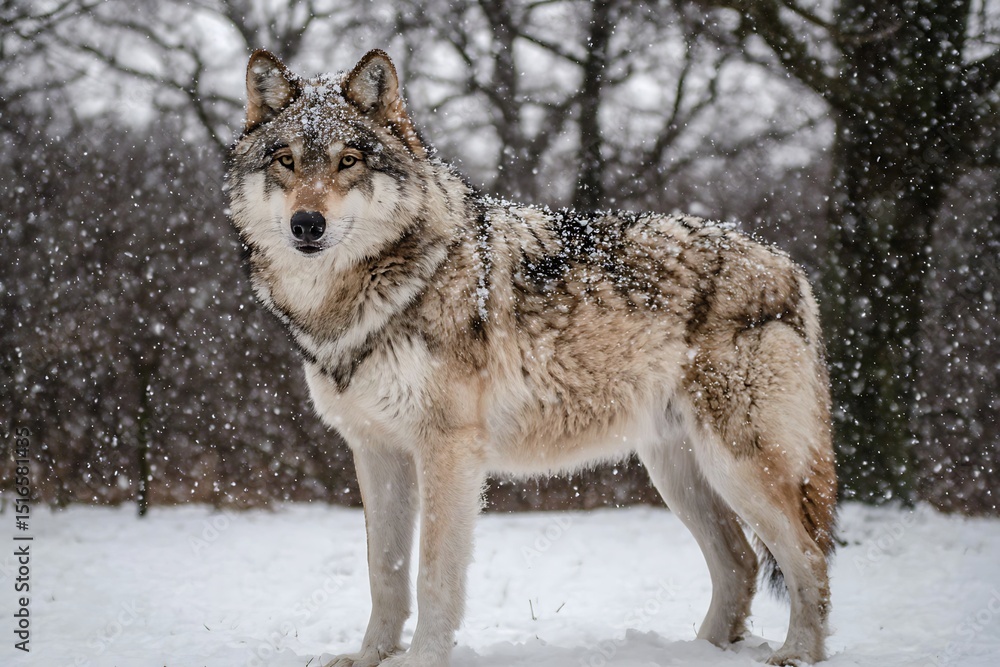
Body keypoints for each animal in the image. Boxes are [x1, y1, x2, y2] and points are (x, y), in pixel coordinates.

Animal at [226, 49, 837, 666]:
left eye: (348, 161)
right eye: (285, 160)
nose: (307, 224)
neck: (371, 294)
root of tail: (791, 268)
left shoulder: (448, 449)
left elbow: (433, 575)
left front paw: (422, 659)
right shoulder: (376, 450)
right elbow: (385, 571)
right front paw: (370, 657)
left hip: (738, 467)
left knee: (809, 557)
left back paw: (796, 653)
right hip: (677, 471)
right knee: (741, 562)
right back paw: (700, 652)